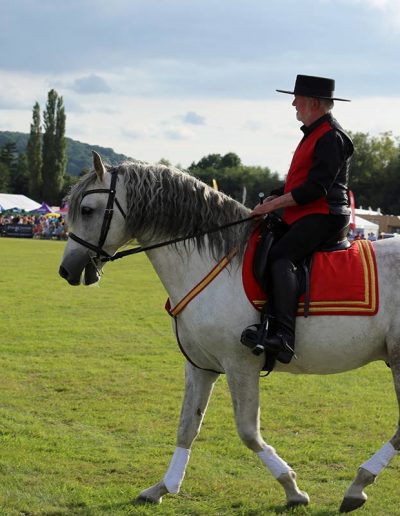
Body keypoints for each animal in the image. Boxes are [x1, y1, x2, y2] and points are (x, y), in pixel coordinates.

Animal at [59, 152, 400, 512]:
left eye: (87, 210)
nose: (66, 269)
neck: (214, 263)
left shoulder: (241, 365)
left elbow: (248, 432)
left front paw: (292, 488)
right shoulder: (200, 366)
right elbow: (187, 426)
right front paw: (163, 487)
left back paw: (358, 483)